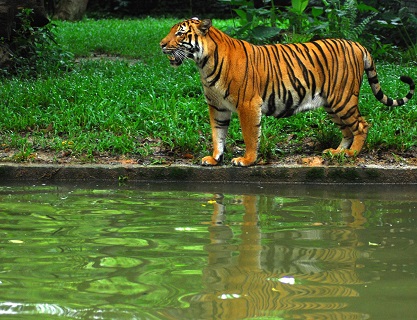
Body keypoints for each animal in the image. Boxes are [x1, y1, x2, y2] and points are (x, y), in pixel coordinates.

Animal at [159, 16, 412, 168]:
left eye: (180, 34)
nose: (161, 44)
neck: (203, 63)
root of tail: (358, 45)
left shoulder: (247, 104)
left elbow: (250, 135)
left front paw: (247, 160)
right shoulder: (217, 106)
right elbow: (217, 134)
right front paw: (214, 158)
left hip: (343, 99)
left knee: (361, 125)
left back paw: (351, 155)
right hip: (332, 104)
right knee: (347, 130)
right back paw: (336, 153)